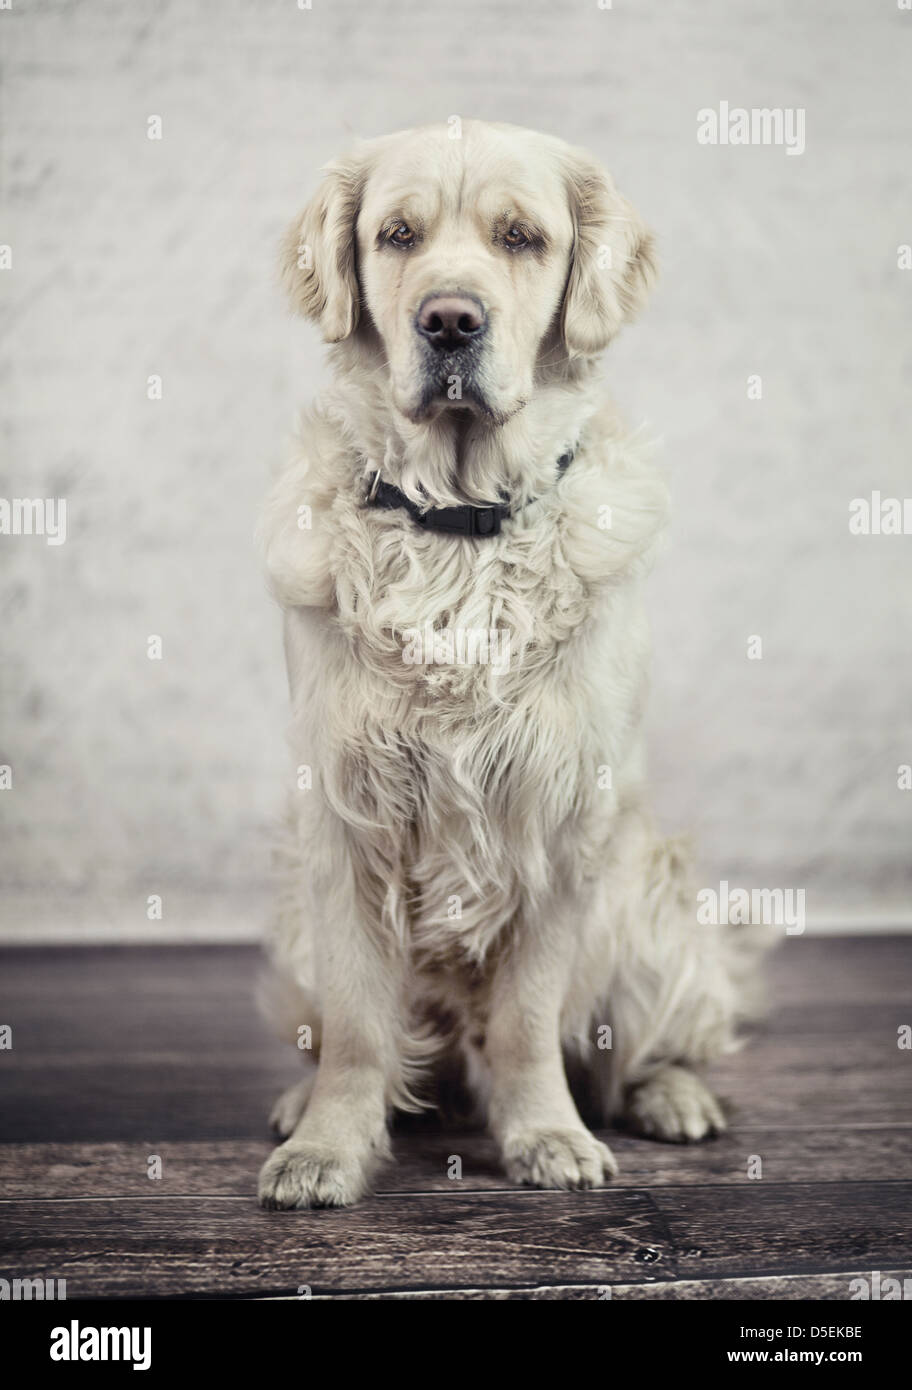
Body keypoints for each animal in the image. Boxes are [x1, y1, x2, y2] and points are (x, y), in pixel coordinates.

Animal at [255, 119, 756, 1206]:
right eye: (396, 235)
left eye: (521, 237)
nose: (449, 321)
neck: (458, 520)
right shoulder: (344, 814)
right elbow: (358, 1026)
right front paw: (326, 1145)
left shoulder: (560, 816)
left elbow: (527, 1017)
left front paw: (546, 1136)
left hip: (647, 907)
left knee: (645, 1040)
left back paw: (671, 1095)